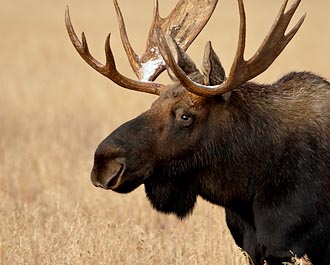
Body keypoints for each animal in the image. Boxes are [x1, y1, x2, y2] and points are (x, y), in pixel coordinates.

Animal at [65, 0, 330, 262]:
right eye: (153, 105)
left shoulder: (287, 245)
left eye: (185, 116)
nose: (103, 163)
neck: (248, 184)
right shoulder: (249, 245)